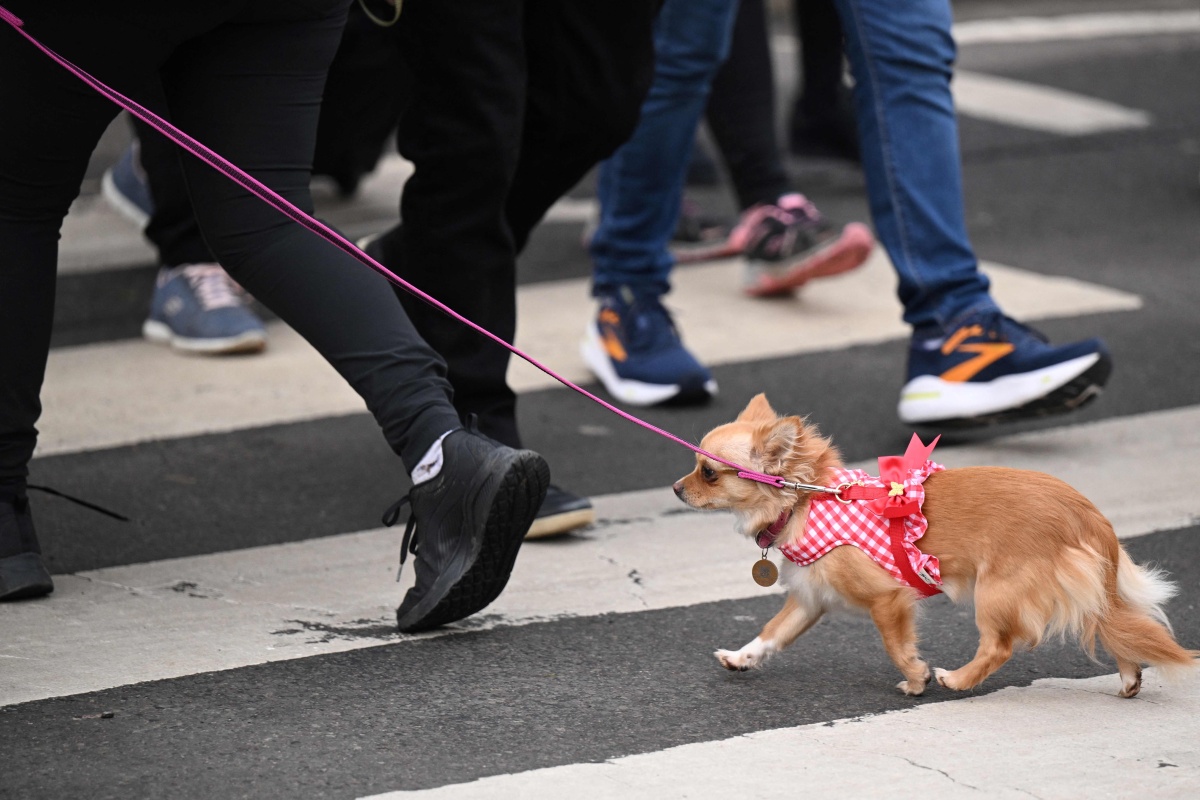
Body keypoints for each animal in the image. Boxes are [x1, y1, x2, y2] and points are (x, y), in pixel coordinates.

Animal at [672, 398, 1195, 695]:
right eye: (695, 468)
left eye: (708, 472)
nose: (676, 488)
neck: (805, 501)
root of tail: (1087, 513)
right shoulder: (810, 599)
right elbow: (772, 632)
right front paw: (741, 657)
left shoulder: (887, 599)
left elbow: (895, 645)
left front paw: (916, 677)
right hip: (1079, 588)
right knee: (1114, 626)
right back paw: (1129, 679)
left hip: (997, 592)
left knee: (1000, 646)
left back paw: (958, 679)